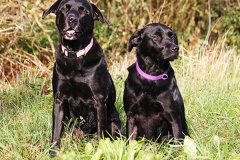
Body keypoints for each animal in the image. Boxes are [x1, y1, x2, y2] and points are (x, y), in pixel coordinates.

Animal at [42, 0, 123, 156]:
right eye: (64, 9)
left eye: (83, 11)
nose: (72, 19)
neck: (74, 55)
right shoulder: (59, 99)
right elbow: (56, 131)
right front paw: (53, 153)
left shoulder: (99, 101)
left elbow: (101, 133)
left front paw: (100, 152)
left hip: (114, 123)